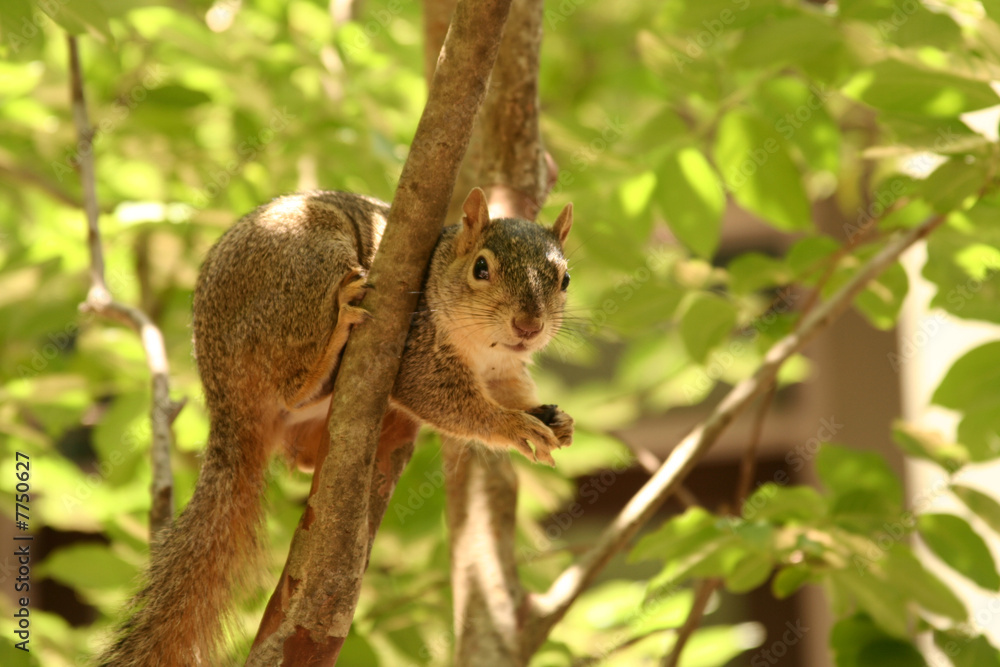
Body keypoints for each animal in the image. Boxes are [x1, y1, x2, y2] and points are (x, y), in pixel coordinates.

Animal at [99, 189, 580, 667]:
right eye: (481, 268)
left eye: (565, 279)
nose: (528, 326)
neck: (485, 348)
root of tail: (222, 397)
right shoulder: (414, 344)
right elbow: (442, 398)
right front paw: (513, 425)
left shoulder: (503, 371)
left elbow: (513, 392)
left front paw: (555, 421)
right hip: (305, 274)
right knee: (292, 386)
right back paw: (334, 345)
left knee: (300, 454)